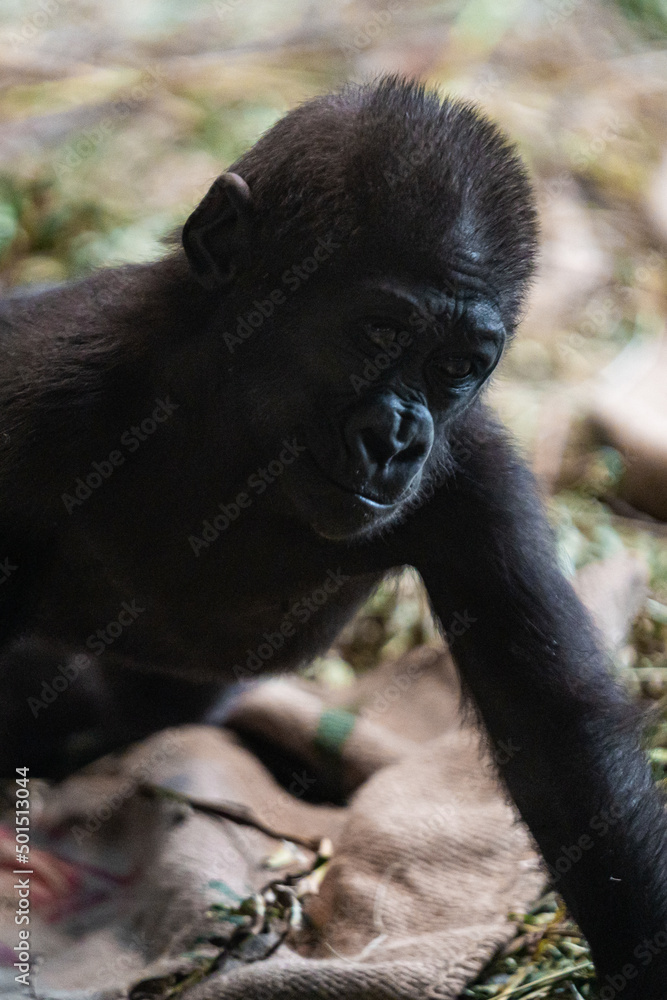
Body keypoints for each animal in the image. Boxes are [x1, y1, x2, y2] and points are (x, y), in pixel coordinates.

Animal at [1, 76, 667, 992]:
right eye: (379, 332)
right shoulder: (37, 384)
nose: (395, 438)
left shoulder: (475, 477)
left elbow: (558, 739)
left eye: (455, 367)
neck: (230, 417)